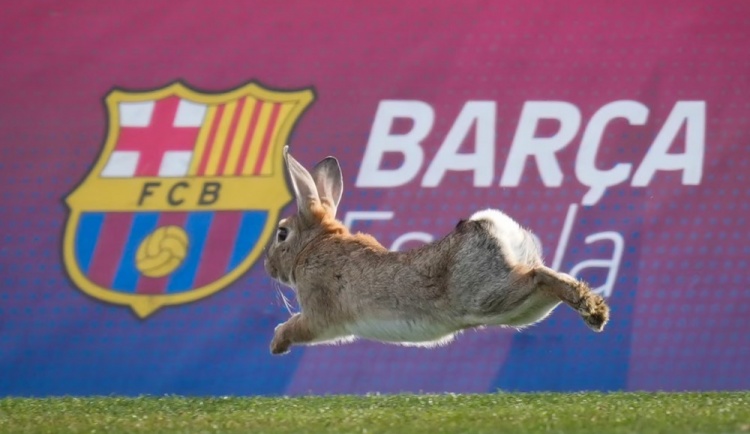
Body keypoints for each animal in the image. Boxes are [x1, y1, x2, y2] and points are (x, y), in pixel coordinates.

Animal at [264, 147, 612, 354]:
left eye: (282, 234)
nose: (268, 267)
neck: (314, 244)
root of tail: (487, 226)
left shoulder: (319, 313)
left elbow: (300, 326)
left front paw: (277, 342)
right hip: (519, 310)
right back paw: (593, 309)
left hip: (488, 296)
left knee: (537, 276)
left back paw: (591, 309)